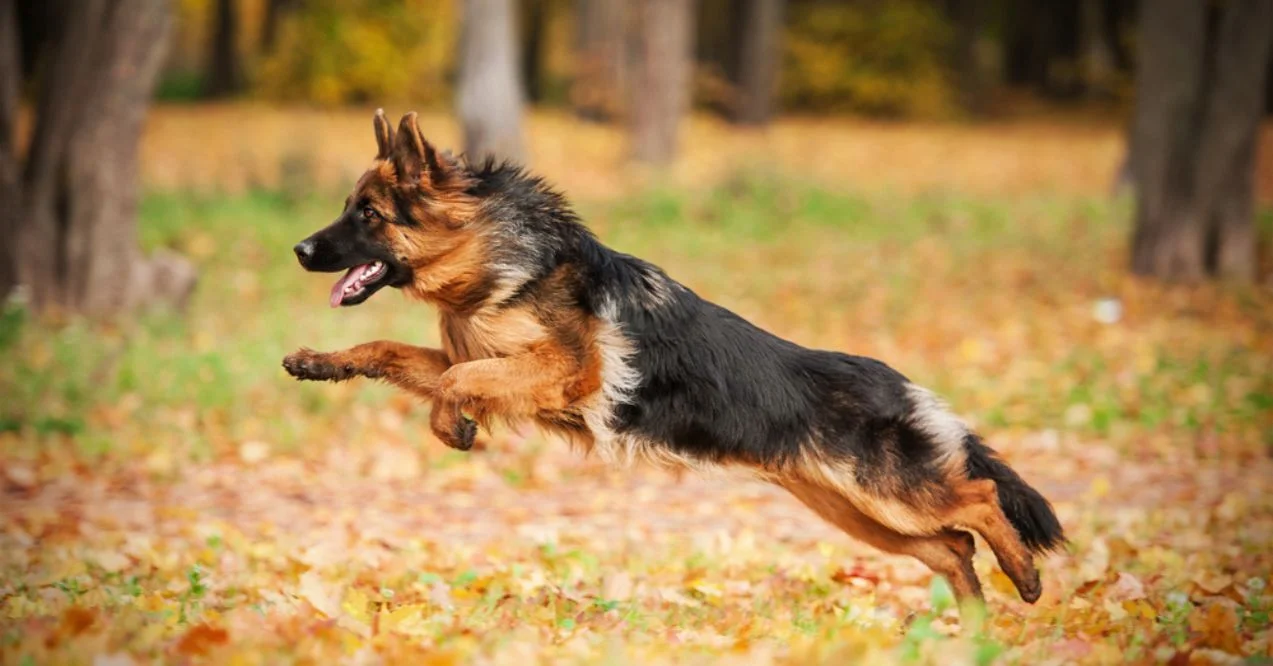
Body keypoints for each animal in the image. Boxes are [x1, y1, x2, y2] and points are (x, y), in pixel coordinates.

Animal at [286, 110, 1064, 608]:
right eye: (348, 207)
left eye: (367, 214)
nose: (298, 249)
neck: (495, 263)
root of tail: (902, 386)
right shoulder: (486, 359)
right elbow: (394, 352)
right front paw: (322, 362)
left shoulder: (565, 372)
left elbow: (457, 377)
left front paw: (452, 425)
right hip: (859, 512)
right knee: (952, 547)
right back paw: (971, 624)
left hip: (883, 494)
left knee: (979, 499)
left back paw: (1024, 579)